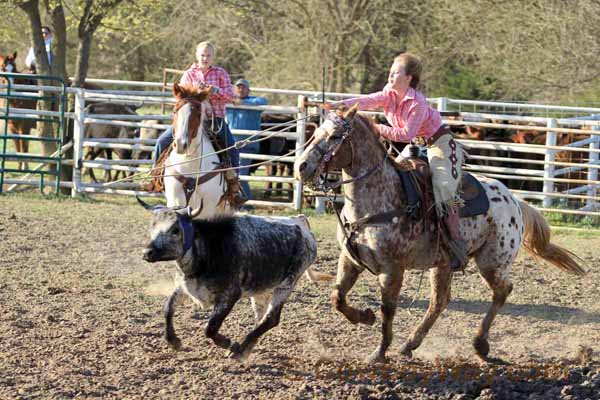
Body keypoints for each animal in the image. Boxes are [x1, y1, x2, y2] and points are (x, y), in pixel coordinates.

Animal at [138, 198, 330, 360]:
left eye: (175, 229)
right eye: (151, 228)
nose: (147, 252)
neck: (208, 249)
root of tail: (299, 220)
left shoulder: (229, 295)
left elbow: (210, 327)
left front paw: (228, 344)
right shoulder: (185, 287)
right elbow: (168, 308)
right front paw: (173, 341)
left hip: (288, 283)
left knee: (271, 318)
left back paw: (240, 351)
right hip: (261, 289)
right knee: (261, 316)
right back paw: (249, 345)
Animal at [292, 108, 584, 364]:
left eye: (334, 137)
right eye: (315, 132)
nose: (301, 166)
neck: (379, 198)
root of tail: (514, 200)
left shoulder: (392, 269)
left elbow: (388, 310)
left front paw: (379, 352)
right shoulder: (351, 260)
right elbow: (338, 297)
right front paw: (364, 317)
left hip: (492, 262)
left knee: (502, 291)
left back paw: (480, 344)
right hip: (443, 264)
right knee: (439, 302)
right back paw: (410, 345)